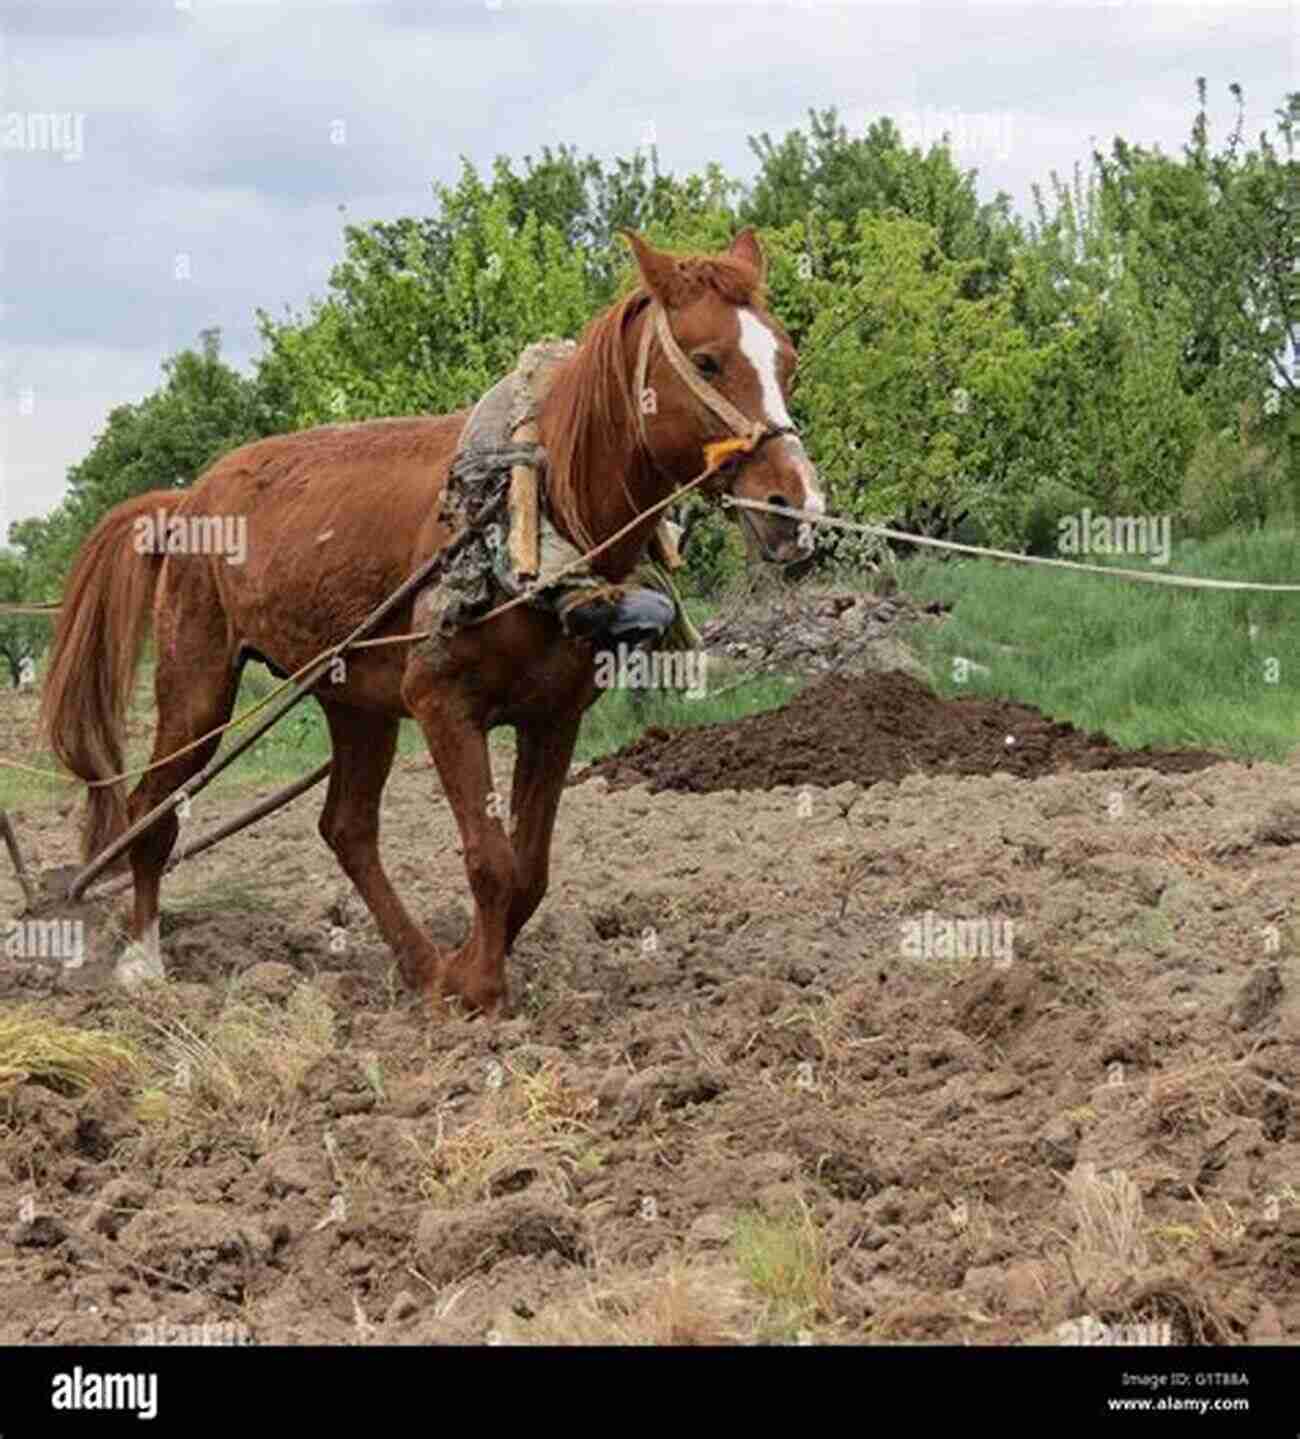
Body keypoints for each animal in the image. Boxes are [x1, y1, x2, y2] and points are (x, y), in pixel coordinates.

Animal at [45, 227, 829, 1013]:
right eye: (706, 360)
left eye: (787, 361)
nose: (798, 506)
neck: (529, 508)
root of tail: (186, 499)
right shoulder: (442, 702)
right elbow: (489, 859)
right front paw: (477, 988)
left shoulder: (555, 718)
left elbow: (530, 869)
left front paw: (461, 971)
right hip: (196, 685)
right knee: (153, 808)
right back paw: (142, 958)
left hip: (353, 699)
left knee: (346, 828)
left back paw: (418, 964)